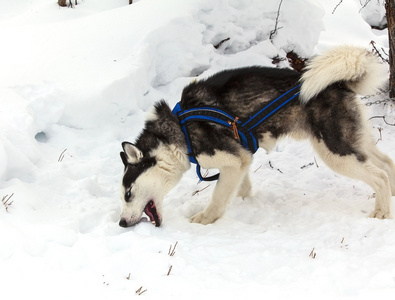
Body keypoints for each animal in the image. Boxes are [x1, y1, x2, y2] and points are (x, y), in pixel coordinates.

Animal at [119, 45, 394, 227]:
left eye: (128, 194)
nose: (121, 222)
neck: (177, 131)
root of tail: (337, 83)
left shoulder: (233, 160)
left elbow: (218, 196)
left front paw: (206, 219)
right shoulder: (241, 159)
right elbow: (240, 188)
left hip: (335, 152)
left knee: (379, 175)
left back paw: (381, 212)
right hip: (355, 143)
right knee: (387, 164)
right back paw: (391, 198)